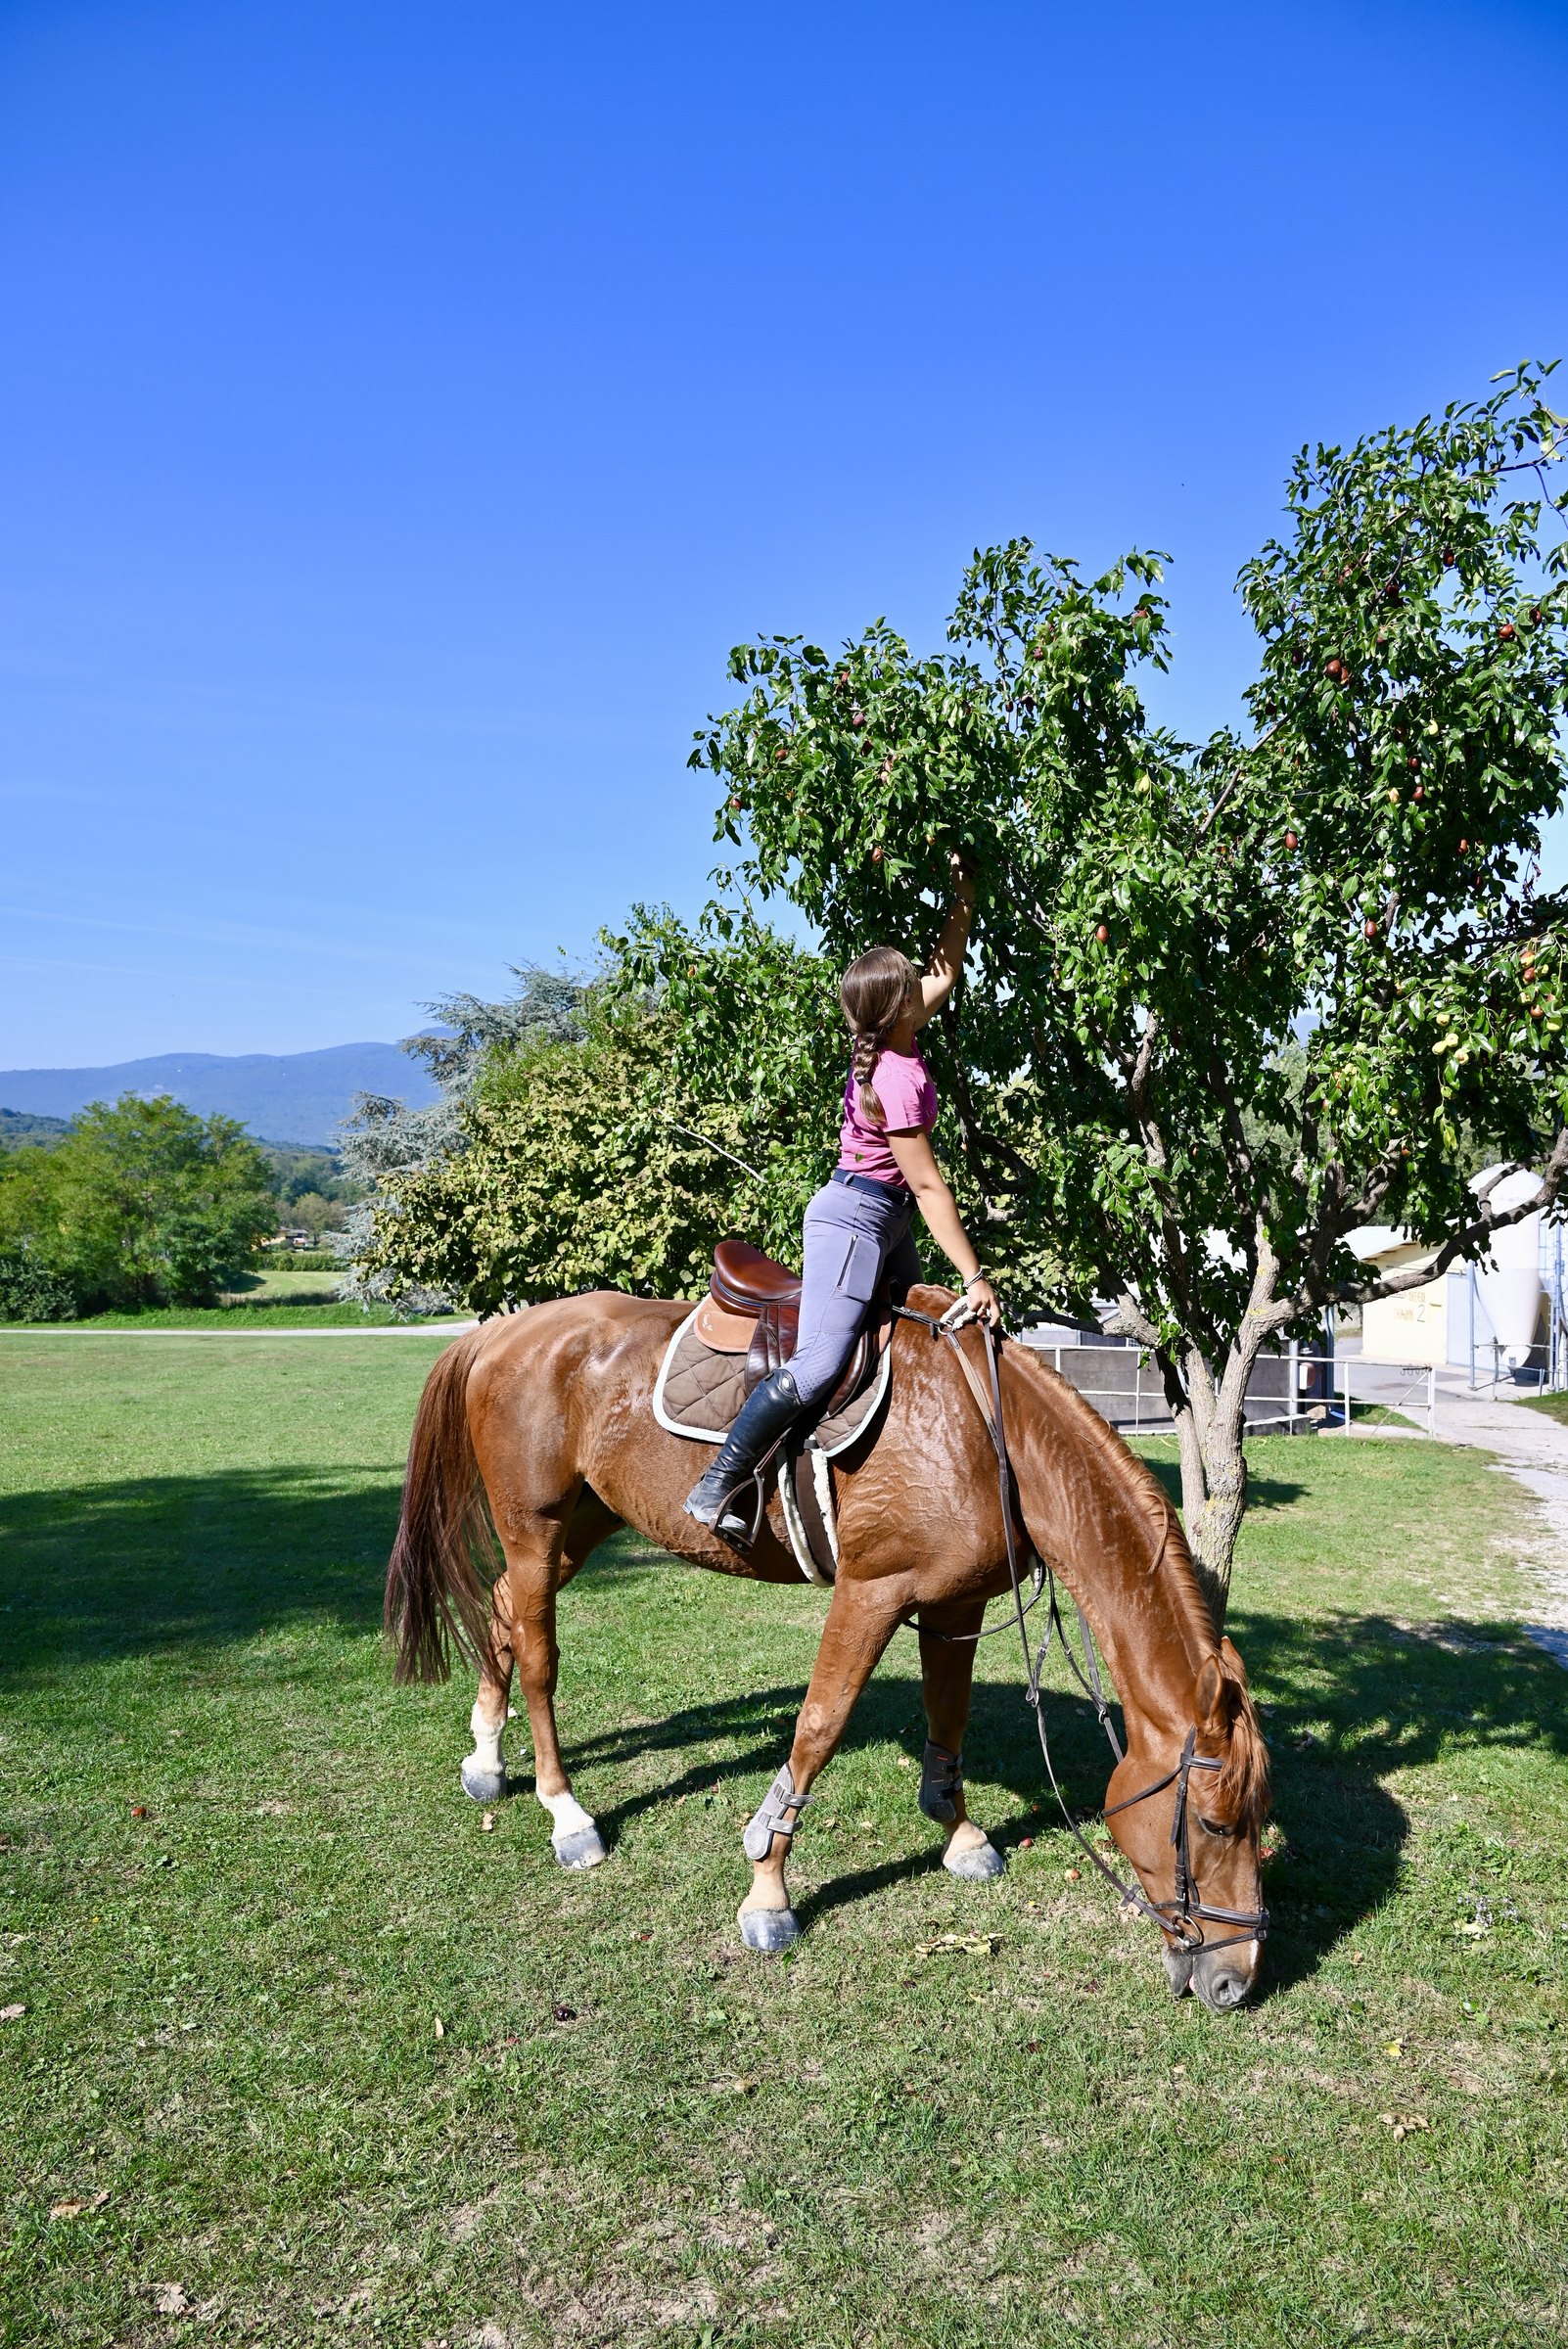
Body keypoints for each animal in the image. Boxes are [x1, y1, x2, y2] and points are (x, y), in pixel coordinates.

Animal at [385, 1283, 1271, 2011]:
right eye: (1217, 1824)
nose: (1236, 1979)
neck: (989, 1435)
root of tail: (501, 1332)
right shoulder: (872, 1591)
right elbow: (820, 1725)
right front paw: (767, 1891)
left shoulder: (955, 1601)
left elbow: (947, 1721)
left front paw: (959, 1834)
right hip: (533, 1525)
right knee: (538, 1652)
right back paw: (564, 1811)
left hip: (587, 1519)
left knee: (504, 1610)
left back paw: (487, 1758)